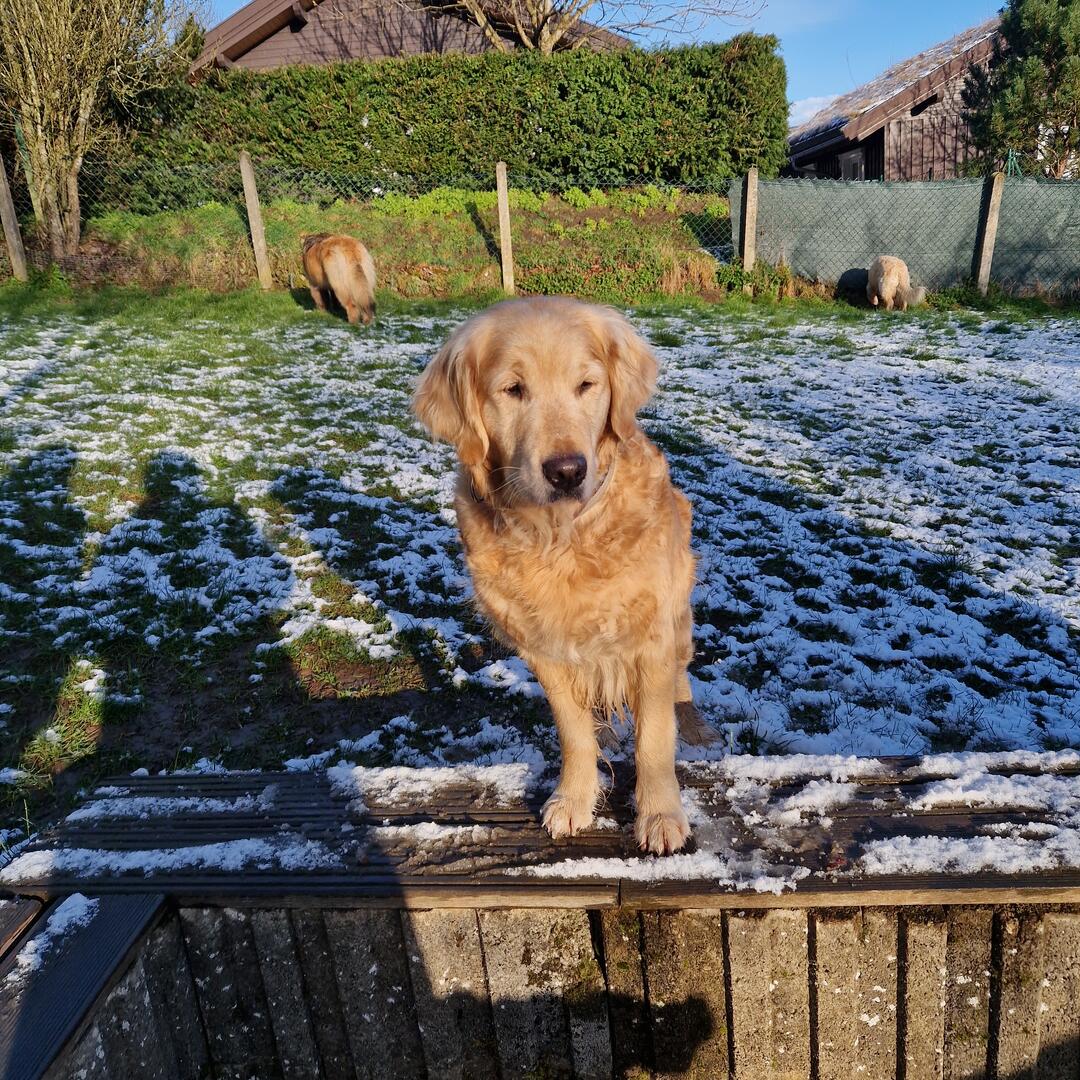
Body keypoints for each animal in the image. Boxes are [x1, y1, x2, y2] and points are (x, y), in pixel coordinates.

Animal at [413, 297, 716, 855]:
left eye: (586, 385)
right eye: (513, 389)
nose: (567, 471)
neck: (562, 538)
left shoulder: (652, 638)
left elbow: (654, 739)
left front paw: (660, 814)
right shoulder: (543, 648)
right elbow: (575, 733)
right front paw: (574, 798)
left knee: (681, 682)